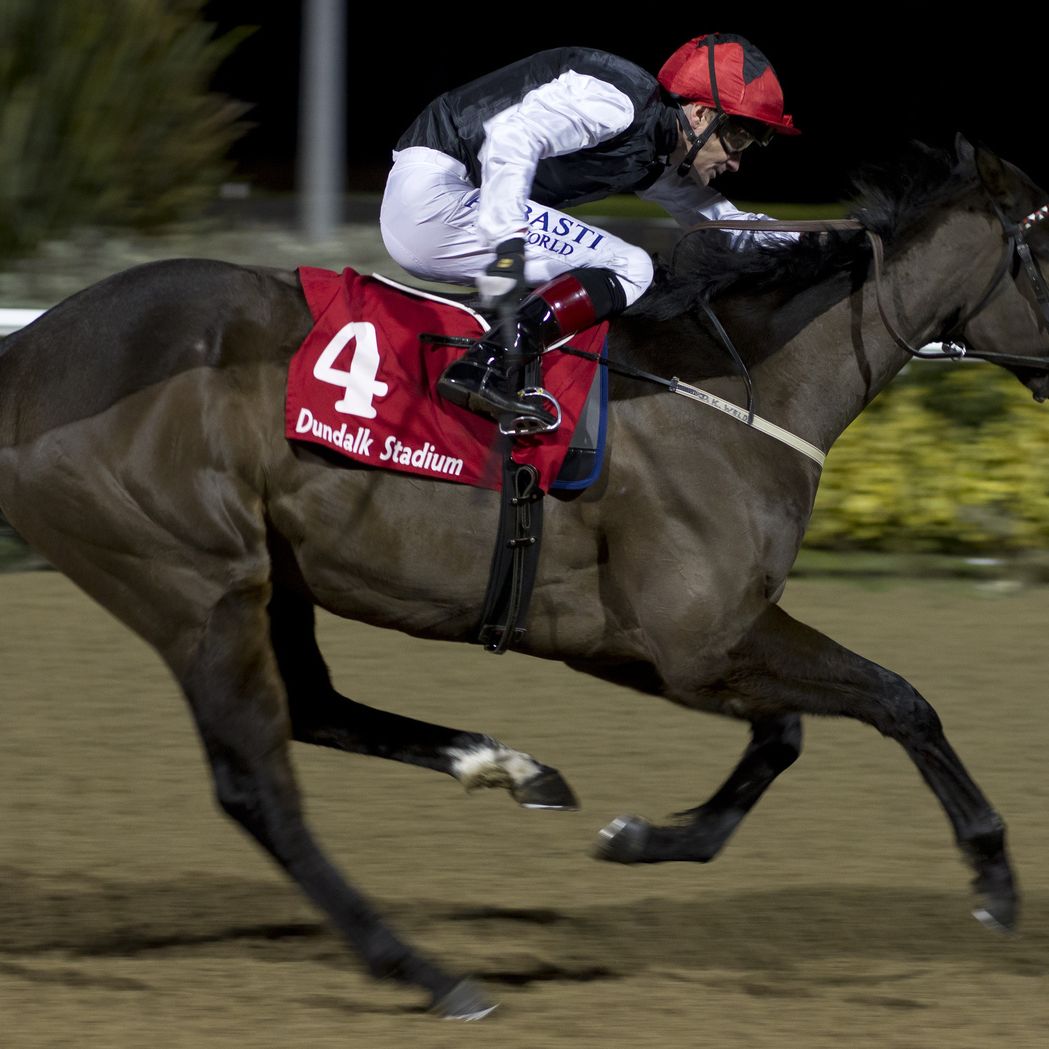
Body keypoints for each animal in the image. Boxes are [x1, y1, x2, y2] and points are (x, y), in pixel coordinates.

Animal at [1, 136, 1047, 1019]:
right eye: (1046, 250)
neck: (740, 385)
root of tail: (27, 350)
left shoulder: (646, 643)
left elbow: (786, 734)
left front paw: (647, 837)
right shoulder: (693, 642)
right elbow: (897, 699)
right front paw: (993, 878)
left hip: (270, 575)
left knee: (313, 705)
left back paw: (505, 766)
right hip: (190, 582)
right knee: (255, 783)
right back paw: (425, 970)